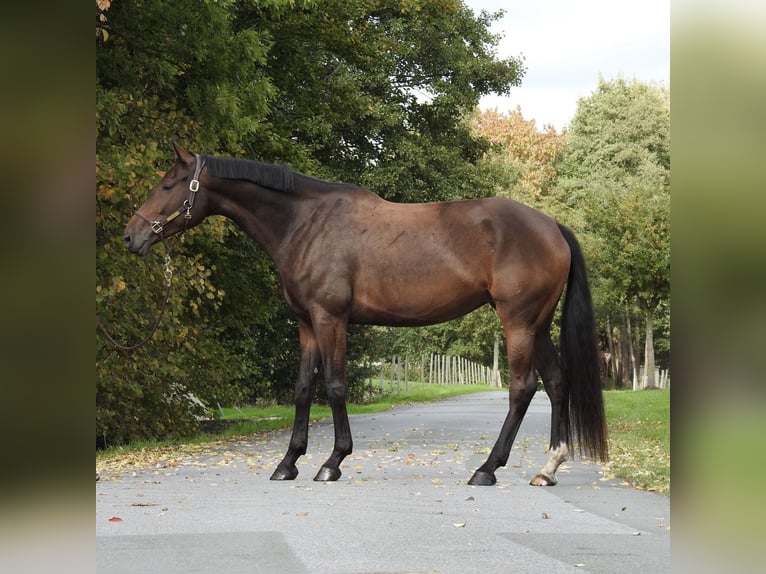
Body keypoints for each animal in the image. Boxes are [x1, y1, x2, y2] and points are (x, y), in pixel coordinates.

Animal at [124, 143, 608, 486]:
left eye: (168, 185)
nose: (131, 235)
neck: (306, 222)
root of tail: (552, 227)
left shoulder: (330, 318)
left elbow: (335, 385)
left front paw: (332, 462)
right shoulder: (306, 324)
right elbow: (303, 389)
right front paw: (288, 462)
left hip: (518, 323)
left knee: (523, 388)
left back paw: (487, 468)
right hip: (537, 326)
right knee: (557, 382)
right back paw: (548, 467)